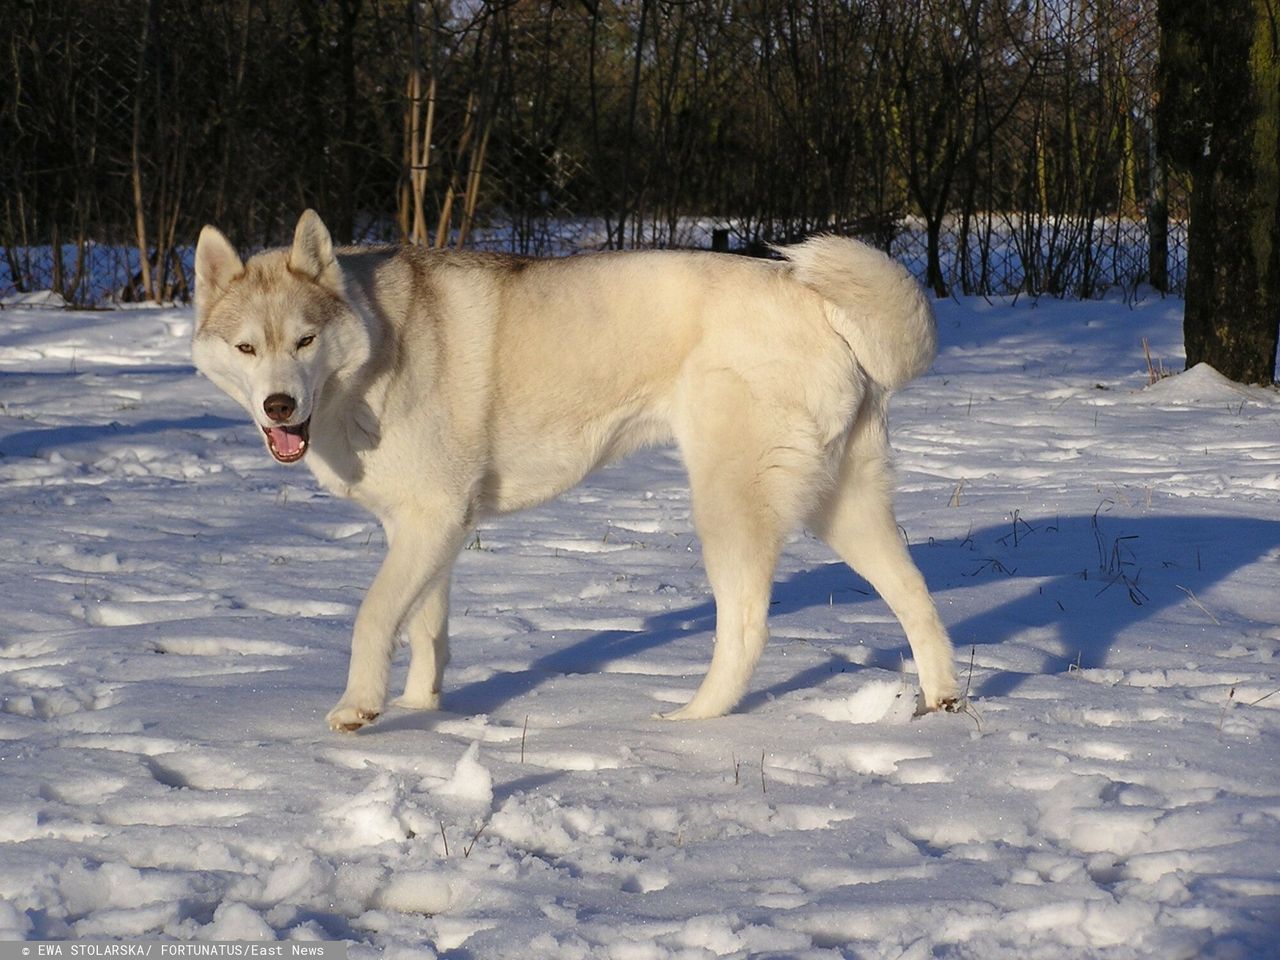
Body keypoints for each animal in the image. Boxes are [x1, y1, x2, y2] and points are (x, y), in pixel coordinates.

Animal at [186, 209, 952, 732]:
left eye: (305, 340)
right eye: (246, 347)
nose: (279, 405)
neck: (375, 350)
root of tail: (817, 301)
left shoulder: (432, 519)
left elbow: (374, 617)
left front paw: (360, 707)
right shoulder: (427, 530)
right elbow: (425, 628)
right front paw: (422, 709)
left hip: (730, 505)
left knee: (745, 628)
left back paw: (692, 722)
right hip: (846, 503)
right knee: (916, 597)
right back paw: (943, 701)